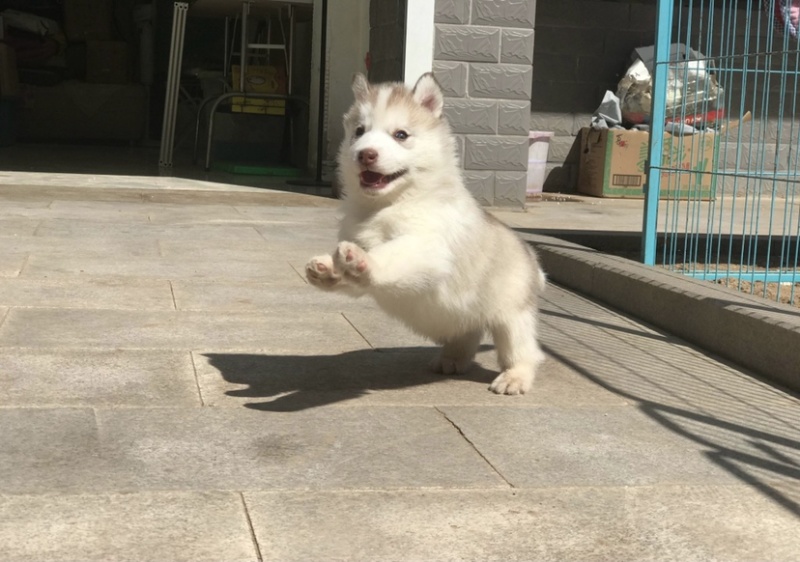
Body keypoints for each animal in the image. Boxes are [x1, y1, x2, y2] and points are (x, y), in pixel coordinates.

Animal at [304, 71, 544, 394]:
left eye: (400, 135)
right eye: (359, 131)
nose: (365, 154)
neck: (389, 204)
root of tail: (531, 255)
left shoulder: (427, 247)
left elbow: (389, 255)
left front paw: (362, 260)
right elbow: (352, 277)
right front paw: (328, 269)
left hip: (511, 315)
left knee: (523, 349)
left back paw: (515, 376)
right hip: (463, 314)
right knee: (467, 333)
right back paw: (452, 359)